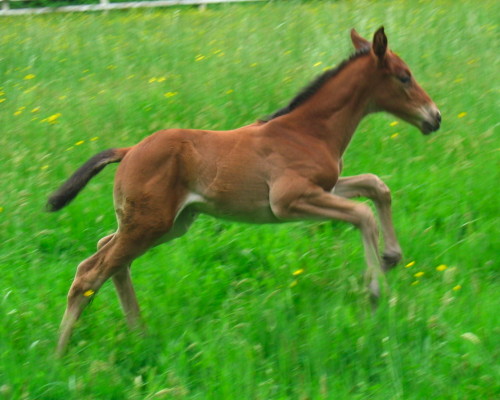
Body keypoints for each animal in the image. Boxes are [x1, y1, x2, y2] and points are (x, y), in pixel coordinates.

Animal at [47, 27, 442, 356]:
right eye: (404, 76)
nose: (435, 117)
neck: (308, 130)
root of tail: (128, 151)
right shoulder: (288, 200)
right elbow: (363, 214)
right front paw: (375, 289)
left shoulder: (325, 186)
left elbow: (376, 186)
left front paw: (391, 256)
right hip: (150, 224)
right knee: (90, 272)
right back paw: (59, 357)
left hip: (170, 223)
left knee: (108, 257)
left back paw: (140, 336)